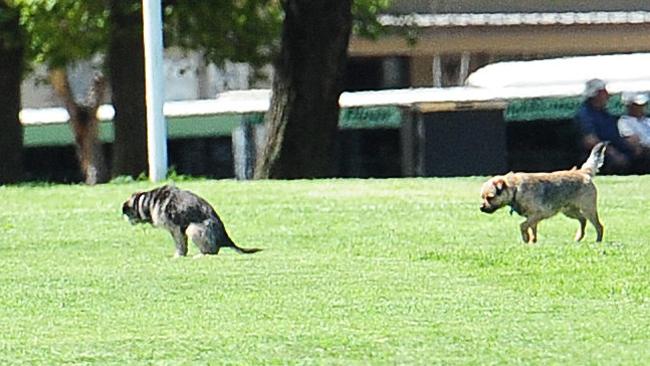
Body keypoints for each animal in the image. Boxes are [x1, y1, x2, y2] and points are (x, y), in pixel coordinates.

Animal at [123, 186, 260, 258]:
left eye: (128, 213)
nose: (125, 219)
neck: (147, 202)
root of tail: (225, 238)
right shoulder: (180, 230)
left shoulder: (176, 228)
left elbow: (179, 244)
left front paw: (178, 255)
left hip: (192, 228)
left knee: (213, 251)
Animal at [476, 142, 608, 243]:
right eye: (482, 197)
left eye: (490, 197)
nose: (481, 208)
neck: (516, 189)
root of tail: (582, 172)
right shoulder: (532, 218)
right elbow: (532, 229)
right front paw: (532, 242)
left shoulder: (537, 214)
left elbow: (522, 225)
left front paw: (525, 238)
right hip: (569, 211)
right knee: (582, 220)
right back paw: (578, 237)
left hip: (588, 209)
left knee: (599, 226)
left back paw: (598, 241)